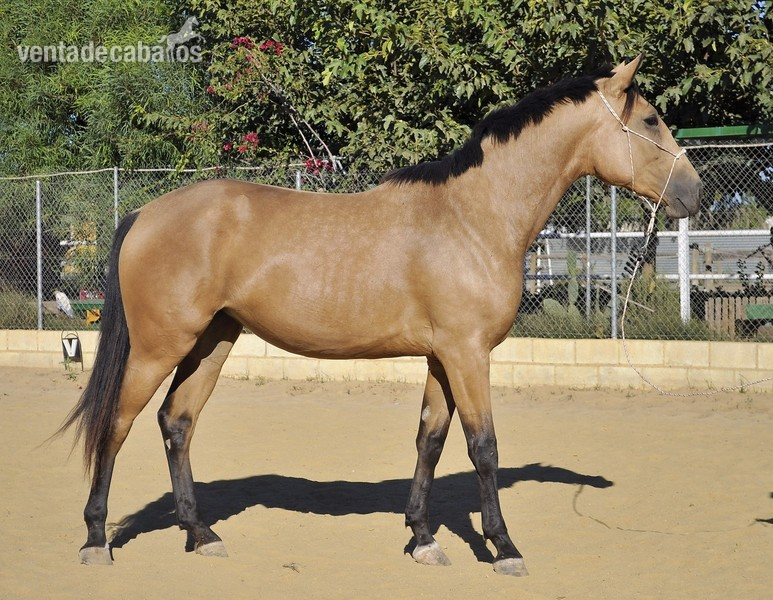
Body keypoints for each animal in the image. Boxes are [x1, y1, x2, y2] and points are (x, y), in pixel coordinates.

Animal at [60, 55, 701, 576]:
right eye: (650, 121)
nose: (694, 194)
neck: (472, 217)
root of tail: (144, 213)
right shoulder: (468, 354)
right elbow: (484, 447)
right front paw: (504, 547)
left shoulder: (444, 356)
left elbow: (430, 439)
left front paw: (422, 539)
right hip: (158, 346)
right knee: (116, 424)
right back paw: (95, 540)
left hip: (212, 340)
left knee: (177, 422)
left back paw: (200, 535)